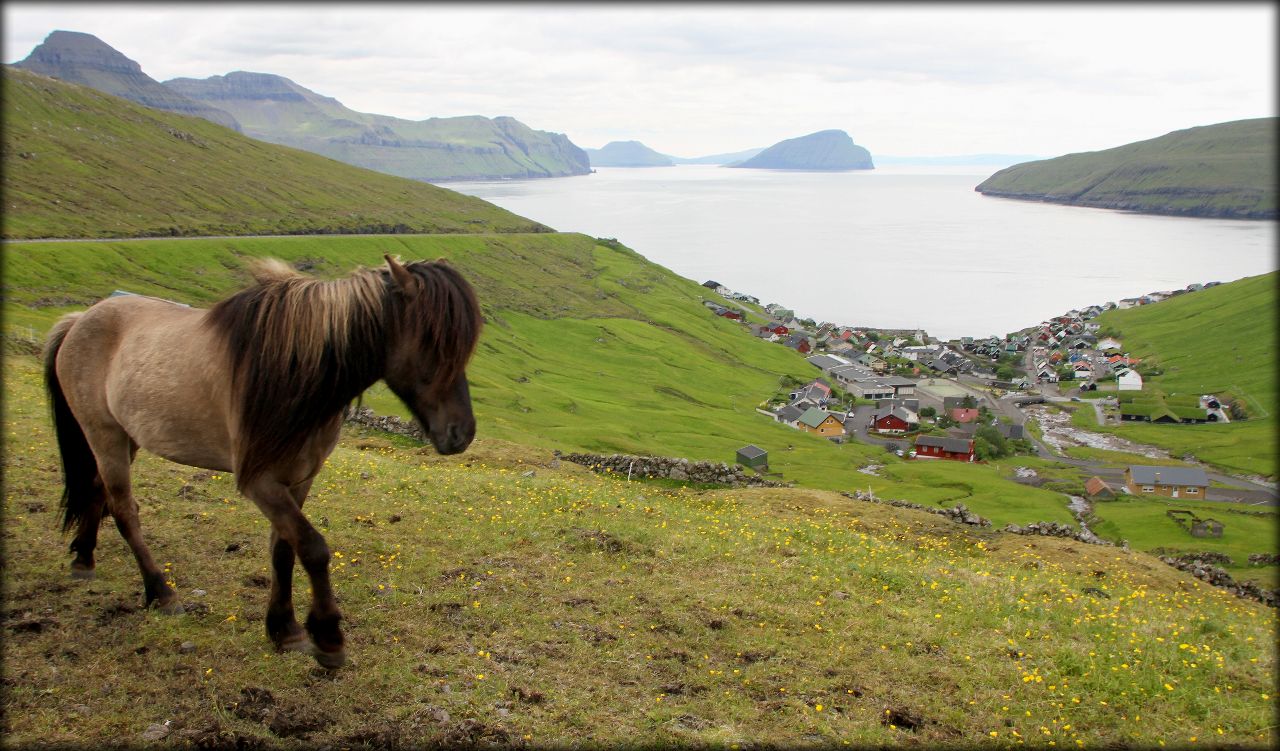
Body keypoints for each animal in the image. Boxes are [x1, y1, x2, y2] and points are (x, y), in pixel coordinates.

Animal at [42, 255, 481, 665]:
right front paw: (327, 636)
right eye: (433, 342)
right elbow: (313, 547)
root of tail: (81, 319)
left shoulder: (299, 478)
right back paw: (161, 593)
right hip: (103, 434)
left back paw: (84, 558)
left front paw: (284, 629)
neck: (295, 374)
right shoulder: (260, 480)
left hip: (125, 436)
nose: (461, 433)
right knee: (123, 509)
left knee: (96, 490)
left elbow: (284, 548)